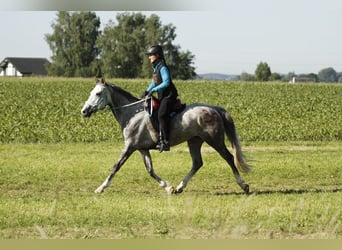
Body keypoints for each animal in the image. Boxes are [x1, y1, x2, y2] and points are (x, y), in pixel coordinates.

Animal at [80, 77, 251, 194]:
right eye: (91, 92)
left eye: (98, 93)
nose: (84, 111)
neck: (132, 113)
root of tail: (214, 108)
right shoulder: (142, 149)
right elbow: (150, 170)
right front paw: (169, 187)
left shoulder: (129, 147)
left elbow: (116, 166)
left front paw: (100, 188)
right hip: (194, 141)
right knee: (197, 163)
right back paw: (180, 187)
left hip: (214, 140)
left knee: (229, 157)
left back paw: (244, 185)